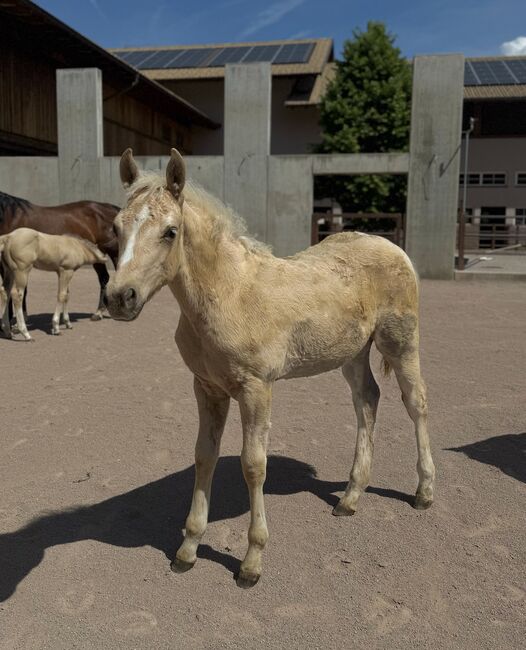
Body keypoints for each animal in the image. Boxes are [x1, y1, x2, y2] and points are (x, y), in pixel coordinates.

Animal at [0, 191, 119, 322]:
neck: (10, 217)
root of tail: (112, 208)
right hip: (97, 255)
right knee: (104, 278)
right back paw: (98, 313)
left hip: (114, 252)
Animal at [105, 148, 435, 589]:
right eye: (116, 227)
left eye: (170, 232)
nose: (118, 297)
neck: (228, 295)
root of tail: (387, 244)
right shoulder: (206, 387)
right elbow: (204, 455)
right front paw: (187, 550)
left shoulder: (256, 388)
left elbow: (253, 465)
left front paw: (251, 562)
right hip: (352, 353)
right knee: (367, 401)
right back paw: (350, 497)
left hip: (400, 340)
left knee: (415, 402)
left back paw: (424, 491)